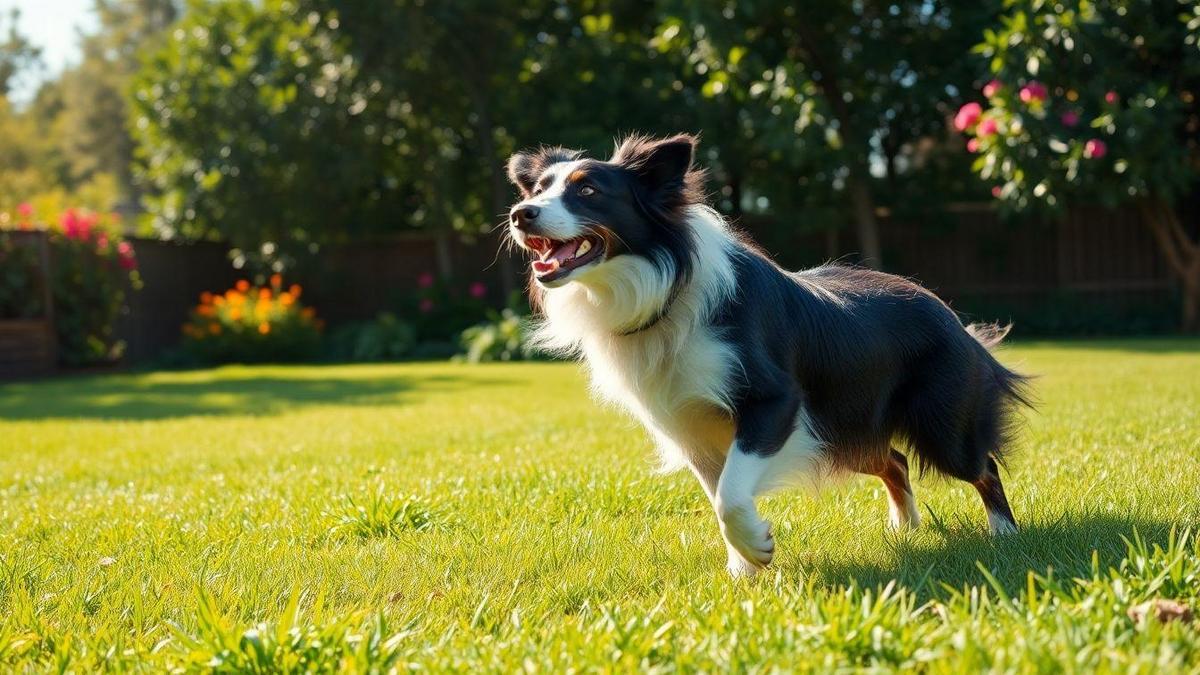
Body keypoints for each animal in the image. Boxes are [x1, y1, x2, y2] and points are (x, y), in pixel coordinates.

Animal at [501, 133, 1027, 576]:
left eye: (588, 191)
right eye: (539, 189)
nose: (520, 213)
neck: (664, 287)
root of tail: (953, 318)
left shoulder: (775, 401)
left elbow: (730, 495)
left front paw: (757, 548)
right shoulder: (691, 427)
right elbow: (718, 492)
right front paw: (744, 570)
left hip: (940, 424)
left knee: (981, 466)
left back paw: (1004, 533)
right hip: (840, 429)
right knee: (894, 460)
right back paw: (905, 528)